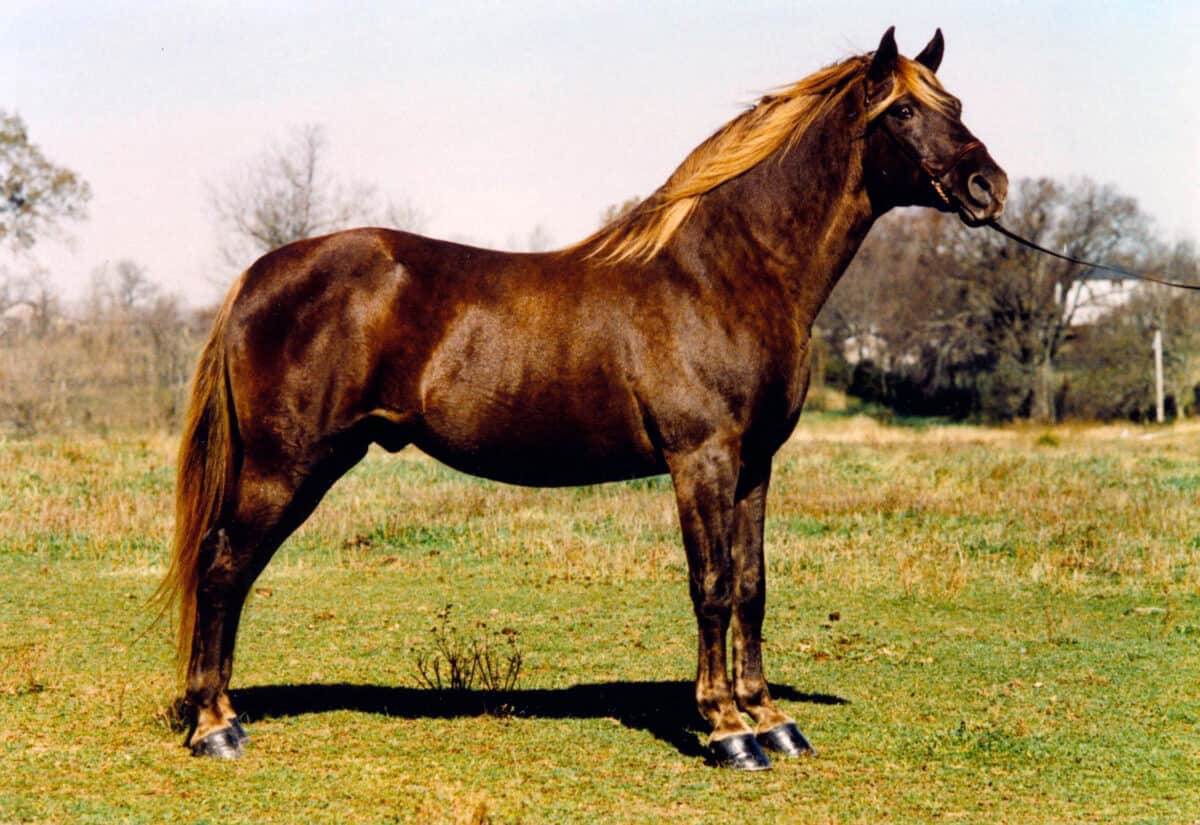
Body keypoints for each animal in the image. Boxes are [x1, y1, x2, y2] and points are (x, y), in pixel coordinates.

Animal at [160, 27, 1007, 770]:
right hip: (287, 465)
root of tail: (259, 273)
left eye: (957, 101)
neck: (723, 273)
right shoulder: (701, 460)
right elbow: (712, 586)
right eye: (902, 111)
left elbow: (753, 586)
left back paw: (221, 714)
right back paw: (215, 726)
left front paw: (772, 719)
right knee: (224, 567)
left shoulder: (755, 463)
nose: (987, 186)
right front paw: (728, 729)